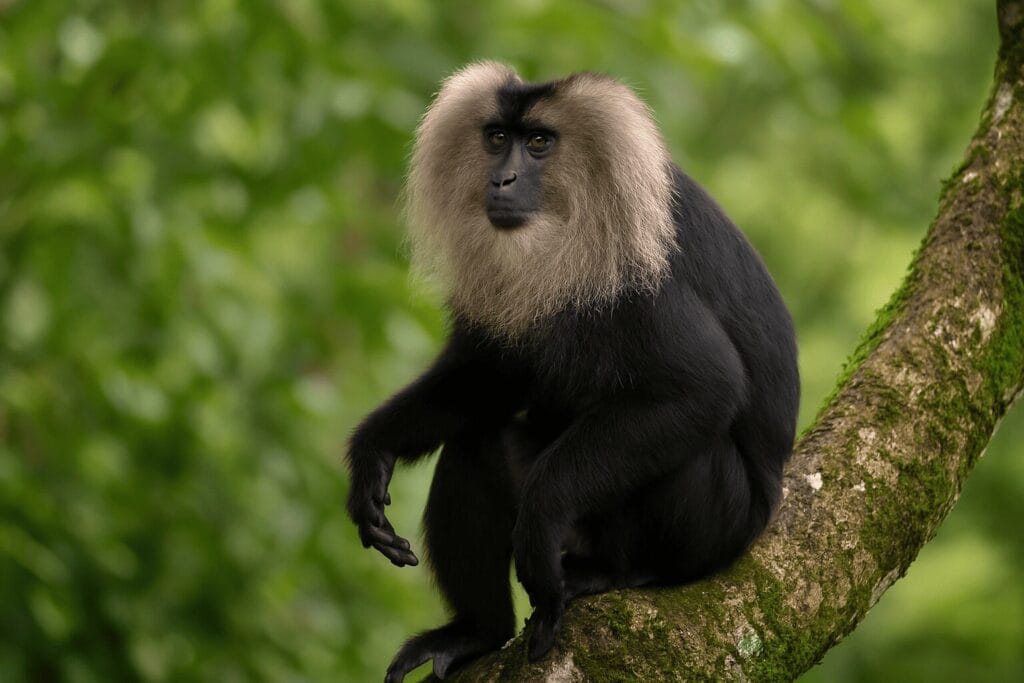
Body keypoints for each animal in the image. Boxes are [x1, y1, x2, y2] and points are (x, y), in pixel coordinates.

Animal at [345, 62, 800, 682]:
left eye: (539, 143)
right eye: (497, 138)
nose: (502, 180)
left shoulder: (636, 268)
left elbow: (703, 388)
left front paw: (537, 530)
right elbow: (486, 379)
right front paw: (373, 452)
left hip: (717, 523)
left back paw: (622, 572)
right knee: (478, 443)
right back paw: (476, 634)